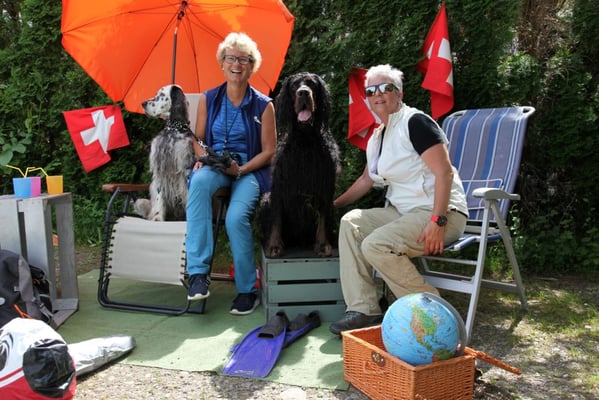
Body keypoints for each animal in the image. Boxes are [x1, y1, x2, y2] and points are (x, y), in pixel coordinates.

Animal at [136, 84, 196, 221]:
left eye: (161, 95)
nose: (142, 103)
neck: (173, 129)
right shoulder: (160, 168)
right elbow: (159, 196)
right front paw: (157, 217)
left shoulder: (185, 168)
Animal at [260, 72, 341, 258]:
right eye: (294, 85)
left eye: (312, 84)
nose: (303, 92)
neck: (305, 139)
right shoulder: (280, 183)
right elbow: (276, 217)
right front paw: (274, 245)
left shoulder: (325, 182)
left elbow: (323, 216)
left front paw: (323, 244)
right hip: (265, 200)